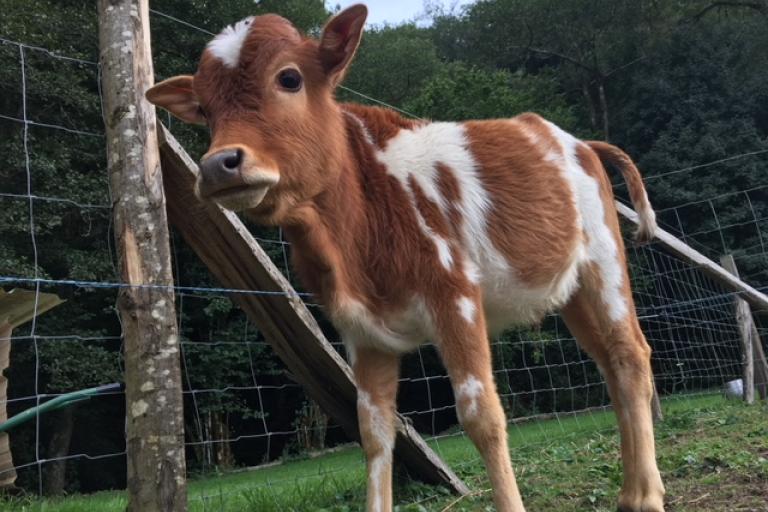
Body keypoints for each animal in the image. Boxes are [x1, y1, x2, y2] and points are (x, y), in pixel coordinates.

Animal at [148, 5, 664, 512]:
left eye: (289, 78)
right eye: (205, 108)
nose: (218, 164)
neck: (353, 239)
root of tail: (580, 142)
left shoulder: (455, 295)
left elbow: (481, 415)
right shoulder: (360, 330)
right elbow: (375, 433)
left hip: (604, 261)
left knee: (630, 354)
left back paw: (646, 495)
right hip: (572, 290)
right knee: (607, 363)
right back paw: (629, 491)